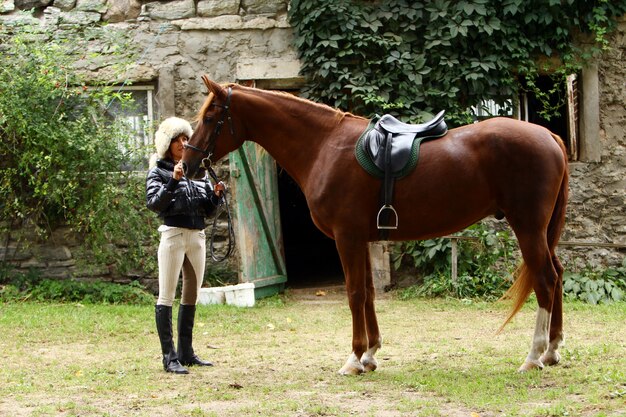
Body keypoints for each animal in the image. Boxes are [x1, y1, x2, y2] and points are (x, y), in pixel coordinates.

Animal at [180, 76, 564, 376]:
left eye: (211, 116)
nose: (187, 164)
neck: (324, 146)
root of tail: (550, 136)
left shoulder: (346, 237)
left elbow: (354, 293)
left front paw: (353, 358)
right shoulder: (360, 238)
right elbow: (368, 291)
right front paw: (370, 354)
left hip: (528, 228)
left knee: (545, 280)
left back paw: (533, 356)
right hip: (542, 232)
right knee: (557, 275)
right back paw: (552, 350)